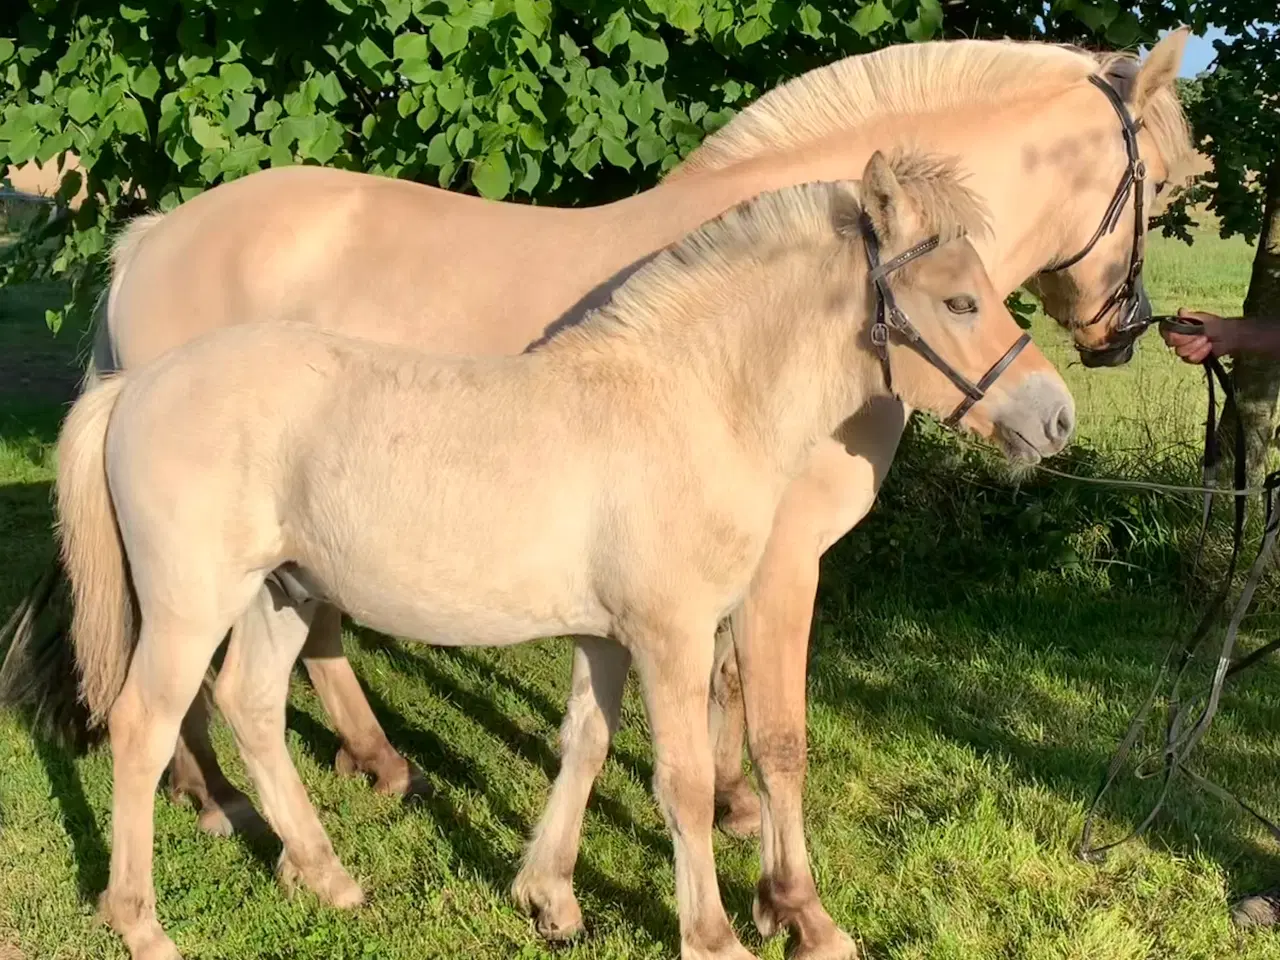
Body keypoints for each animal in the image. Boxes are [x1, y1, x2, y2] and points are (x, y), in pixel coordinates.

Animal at [5, 32, 1192, 960]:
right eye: (1167, 188)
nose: (1073, 395)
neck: (691, 383)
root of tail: (147, 253)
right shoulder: (764, 572)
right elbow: (758, 739)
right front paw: (786, 912)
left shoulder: (641, 615)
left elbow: (618, 734)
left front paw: (580, 886)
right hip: (197, 592)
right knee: (152, 713)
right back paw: (179, 868)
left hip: (280, 583)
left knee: (252, 695)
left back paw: (333, 840)